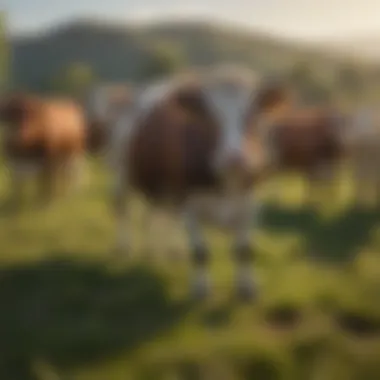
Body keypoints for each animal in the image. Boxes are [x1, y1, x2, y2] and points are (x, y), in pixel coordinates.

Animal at [108, 67, 292, 300]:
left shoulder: (250, 205)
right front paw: (201, 288)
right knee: (123, 209)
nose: (234, 158)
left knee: (157, 217)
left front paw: (247, 288)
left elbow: (244, 250)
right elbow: (200, 251)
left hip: (163, 188)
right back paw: (124, 247)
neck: (227, 187)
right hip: (121, 172)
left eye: (251, 114)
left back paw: (163, 251)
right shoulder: (190, 204)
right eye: (210, 117)